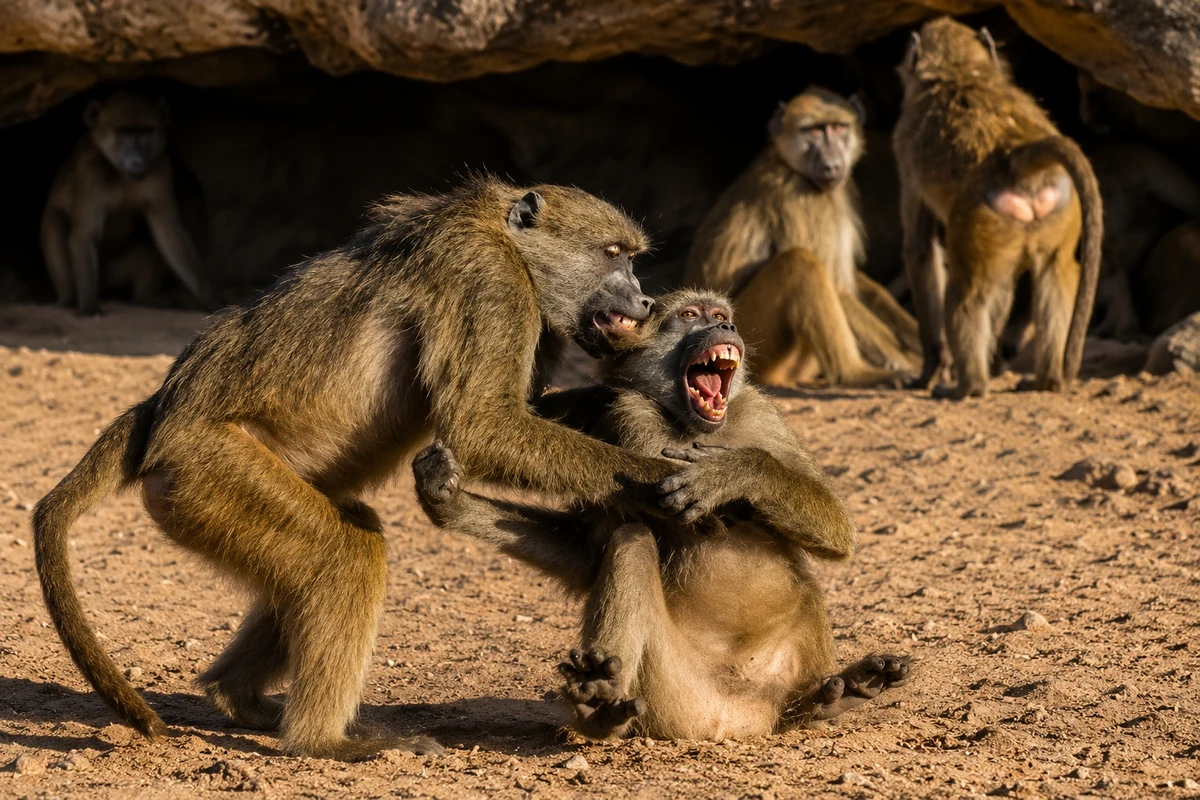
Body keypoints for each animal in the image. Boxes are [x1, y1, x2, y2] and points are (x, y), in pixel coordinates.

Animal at [31, 176, 715, 761]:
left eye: (632, 258)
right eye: (613, 255)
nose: (644, 298)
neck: (510, 240)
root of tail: (164, 410)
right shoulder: (488, 282)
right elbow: (482, 425)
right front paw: (667, 480)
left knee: (335, 541)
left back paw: (239, 698)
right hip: (210, 471)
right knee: (344, 553)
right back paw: (322, 742)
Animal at [40, 90, 221, 316]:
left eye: (145, 132)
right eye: (123, 133)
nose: (137, 161)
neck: (122, 176)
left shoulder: (160, 169)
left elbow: (169, 232)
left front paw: (211, 298)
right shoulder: (89, 173)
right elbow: (84, 235)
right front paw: (89, 307)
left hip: (114, 273)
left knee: (151, 245)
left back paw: (144, 298)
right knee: (55, 226)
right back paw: (68, 299)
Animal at [412, 289, 912, 741]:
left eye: (720, 316)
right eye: (689, 316)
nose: (727, 328)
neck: (690, 426)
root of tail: (731, 721)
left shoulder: (761, 415)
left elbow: (838, 530)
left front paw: (731, 474)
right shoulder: (622, 415)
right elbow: (591, 548)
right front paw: (447, 501)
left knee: (803, 584)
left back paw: (827, 698)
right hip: (664, 692)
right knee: (631, 543)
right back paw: (598, 708)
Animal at [684, 88, 921, 389]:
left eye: (838, 127)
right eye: (814, 131)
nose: (832, 166)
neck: (789, 165)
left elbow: (851, 283)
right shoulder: (798, 200)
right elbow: (838, 289)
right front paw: (909, 361)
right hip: (746, 337)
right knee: (801, 262)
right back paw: (857, 374)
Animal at [893, 18, 1103, 398]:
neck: (960, 70)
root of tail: (1016, 153)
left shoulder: (903, 148)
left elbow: (919, 250)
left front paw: (927, 372)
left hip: (978, 217)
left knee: (967, 290)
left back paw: (968, 387)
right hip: (1057, 208)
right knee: (1056, 274)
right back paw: (1046, 379)